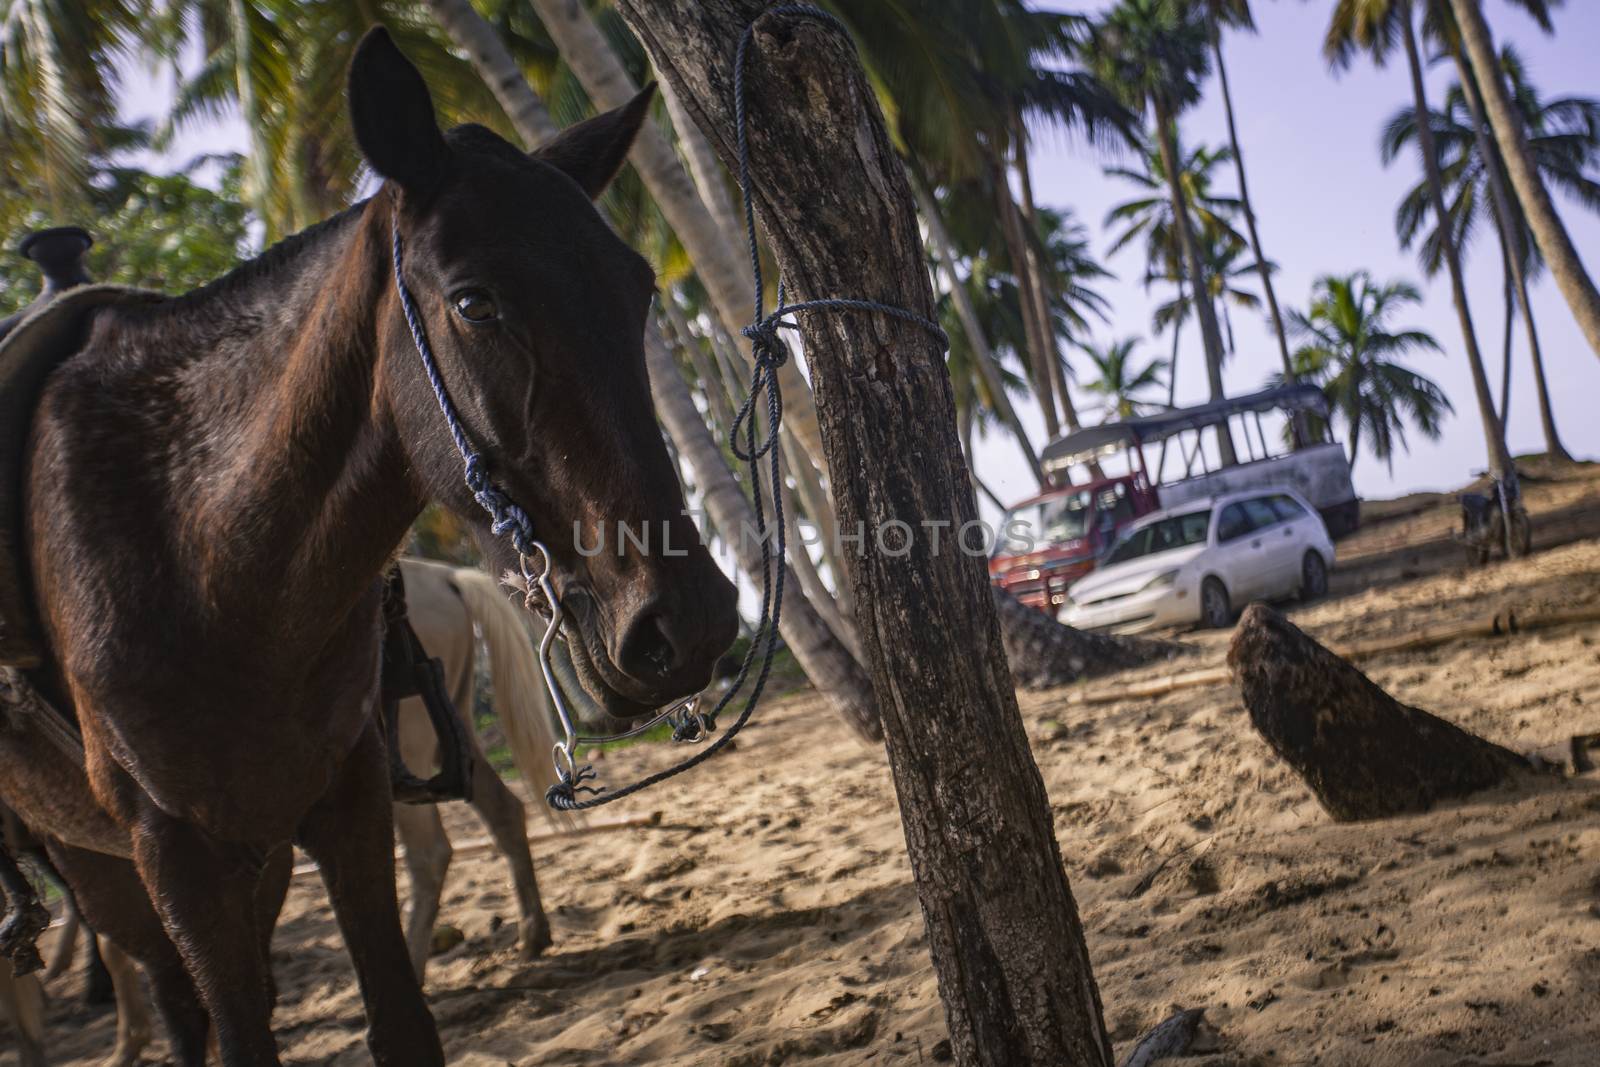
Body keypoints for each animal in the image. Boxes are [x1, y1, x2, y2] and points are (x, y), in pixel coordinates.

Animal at [0, 27, 732, 1067]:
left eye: (637, 289)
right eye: (474, 303)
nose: (690, 622)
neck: (200, 557)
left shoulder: (344, 798)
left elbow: (399, 1020)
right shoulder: (174, 853)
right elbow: (231, 1024)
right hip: (107, 858)